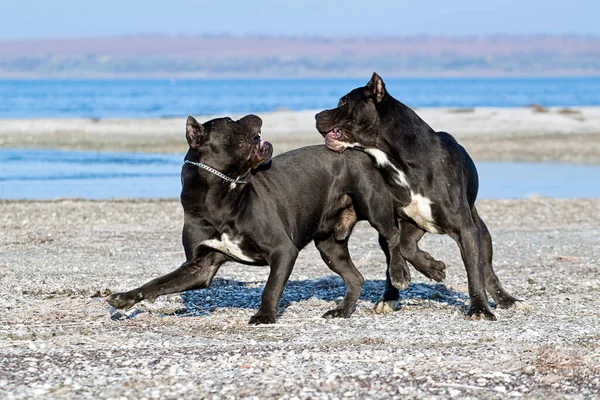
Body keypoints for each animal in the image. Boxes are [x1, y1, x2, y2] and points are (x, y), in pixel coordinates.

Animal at [105, 114, 442, 324]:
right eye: (231, 122)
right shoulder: (200, 266)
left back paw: (409, 271)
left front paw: (264, 315)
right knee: (355, 277)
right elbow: (158, 282)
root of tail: (358, 150)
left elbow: (271, 286)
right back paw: (343, 310)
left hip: (374, 206)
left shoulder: (282, 250)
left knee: (394, 238)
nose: (253, 114)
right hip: (329, 245)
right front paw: (124, 299)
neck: (222, 194)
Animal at [316, 73, 524, 320]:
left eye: (344, 102)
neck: (400, 160)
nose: (317, 115)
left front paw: (479, 309)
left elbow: (474, 272)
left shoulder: (466, 230)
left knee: (487, 269)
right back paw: (390, 296)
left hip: (481, 232)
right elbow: (403, 247)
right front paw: (432, 268)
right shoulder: (404, 220)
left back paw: (507, 299)